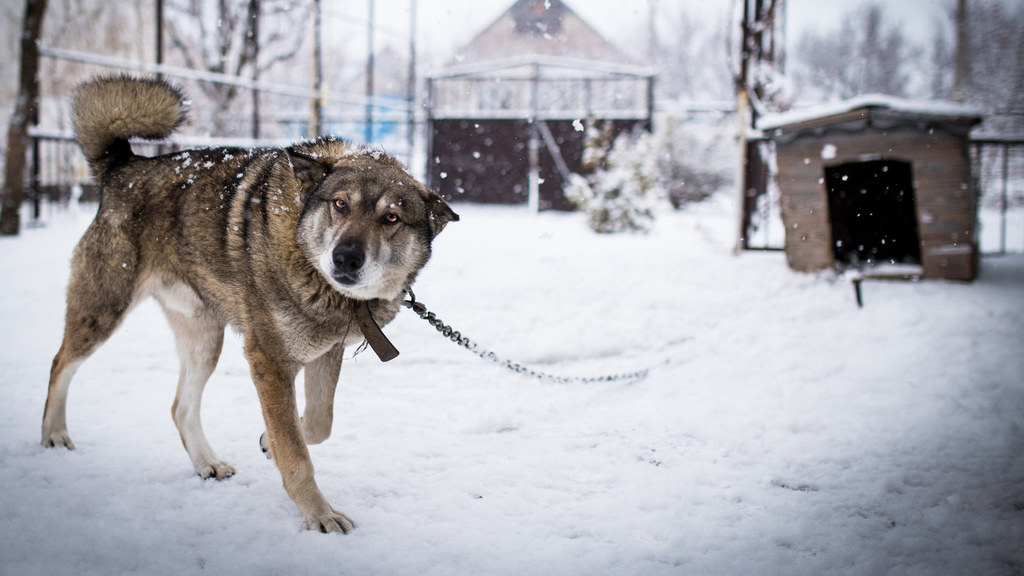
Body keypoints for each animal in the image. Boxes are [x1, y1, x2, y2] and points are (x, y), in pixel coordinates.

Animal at [39, 73, 456, 532]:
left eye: (391, 218)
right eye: (340, 204)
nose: (345, 258)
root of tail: (123, 167)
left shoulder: (324, 354)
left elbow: (318, 424)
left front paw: (269, 442)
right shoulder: (269, 361)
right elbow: (298, 455)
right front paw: (319, 514)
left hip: (205, 341)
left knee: (180, 407)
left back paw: (206, 462)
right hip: (103, 309)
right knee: (60, 363)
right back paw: (53, 434)